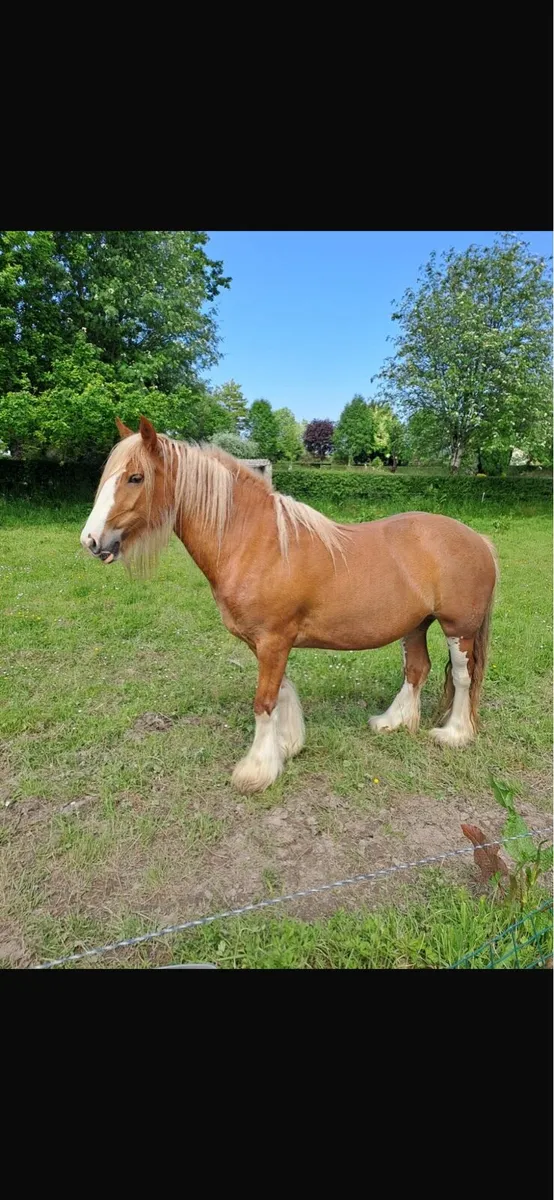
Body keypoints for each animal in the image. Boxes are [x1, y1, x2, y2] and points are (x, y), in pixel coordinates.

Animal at [80, 416, 498, 793]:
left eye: (135, 478)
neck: (255, 541)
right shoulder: (266, 644)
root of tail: (478, 538)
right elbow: (279, 692)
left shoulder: (273, 640)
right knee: (417, 670)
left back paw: (454, 734)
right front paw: (286, 746)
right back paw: (391, 722)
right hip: (415, 625)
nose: (90, 540)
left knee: (462, 677)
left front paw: (257, 770)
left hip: (457, 629)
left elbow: (263, 701)